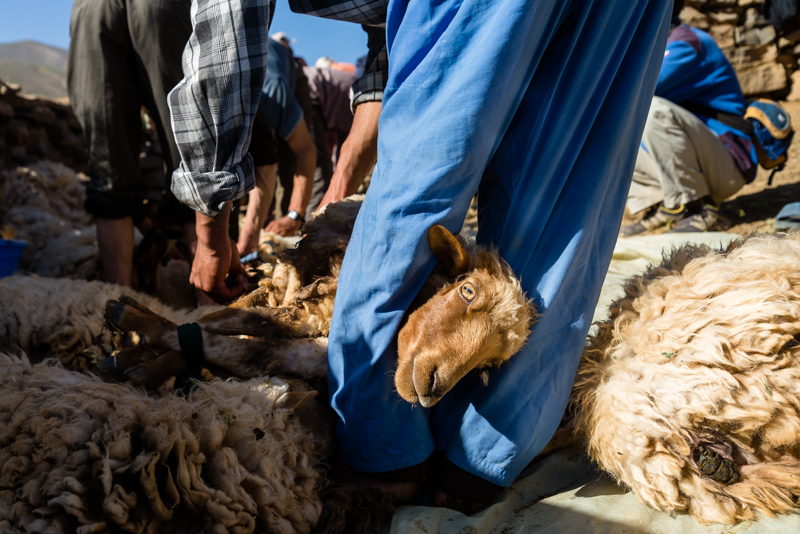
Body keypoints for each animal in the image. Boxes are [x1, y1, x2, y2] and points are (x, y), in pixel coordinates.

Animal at [101, 197, 536, 410]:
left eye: (488, 366)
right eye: (467, 291)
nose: (432, 390)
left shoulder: (324, 351)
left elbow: (249, 350)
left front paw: (140, 334)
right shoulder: (315, 305)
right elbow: (238, 322)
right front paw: (134, 323)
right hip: (288, 275)